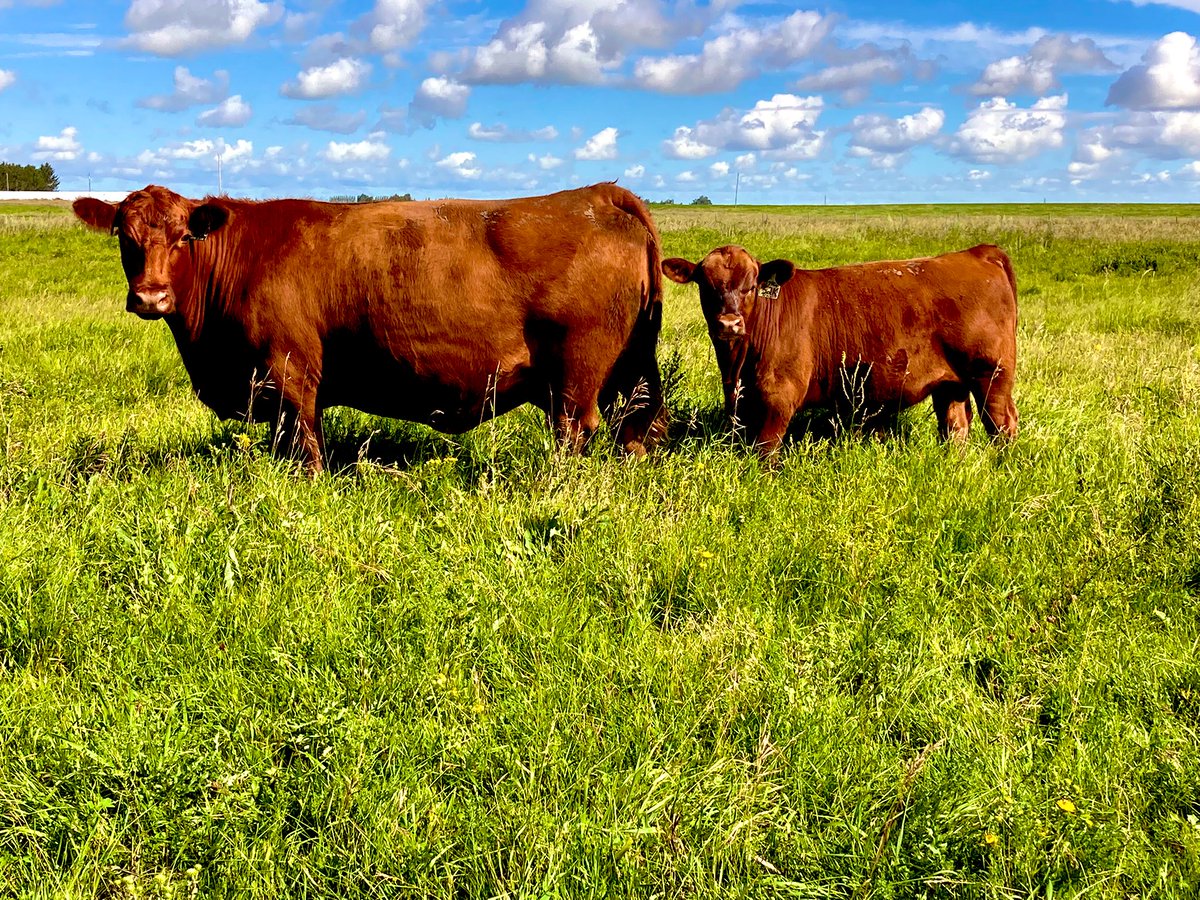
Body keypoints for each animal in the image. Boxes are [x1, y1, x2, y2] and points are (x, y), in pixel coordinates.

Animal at [73, 183, 668, 474]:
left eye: (182, 237)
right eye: (124, 236)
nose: (150, 296)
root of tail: (597, 194)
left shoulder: (290, 372)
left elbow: (304, 446)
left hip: (577, 373)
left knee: (573, 432)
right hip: (630, 368)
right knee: (636, 429)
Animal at [661, 244, 1018, 455]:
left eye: (751, 286)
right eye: (706, 286)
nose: (729, 323)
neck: (737, 367)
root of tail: (977, 252)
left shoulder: (778, 396)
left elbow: (766, 449)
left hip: (992, 374)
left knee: (1002, 424)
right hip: (951, 383)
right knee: (956, 427)